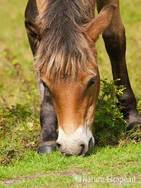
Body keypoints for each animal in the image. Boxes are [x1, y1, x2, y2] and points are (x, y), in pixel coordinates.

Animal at [24, 0, 141, 156]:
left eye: (92, 81)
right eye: (45, 84)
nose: (71, 147)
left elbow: (114, 38)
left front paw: (132, 120)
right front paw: (47, 138)